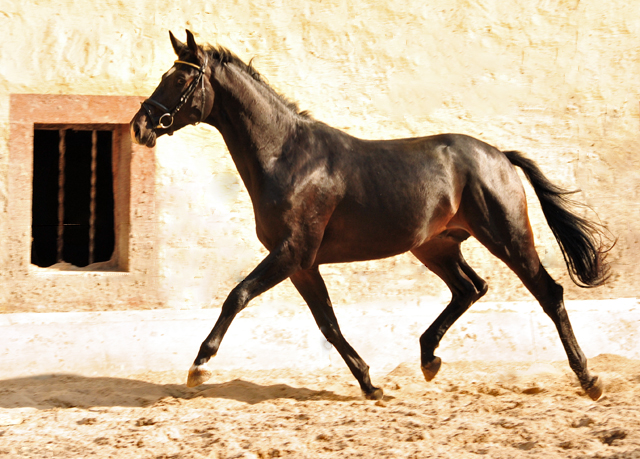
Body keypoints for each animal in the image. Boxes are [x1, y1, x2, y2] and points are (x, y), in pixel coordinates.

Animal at [129, 30, 608, 400]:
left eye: (179, 80)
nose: (140, 126)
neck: (287, 157)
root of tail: (500, 157)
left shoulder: (290, 253)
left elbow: (237, 295)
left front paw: (199, 366)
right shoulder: (302, 264)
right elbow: (328, 324)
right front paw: (370, 384)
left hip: (507, 237)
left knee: (549, 293)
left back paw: (589, 379)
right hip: (435, 247)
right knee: (471, 288)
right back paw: (429, 358)